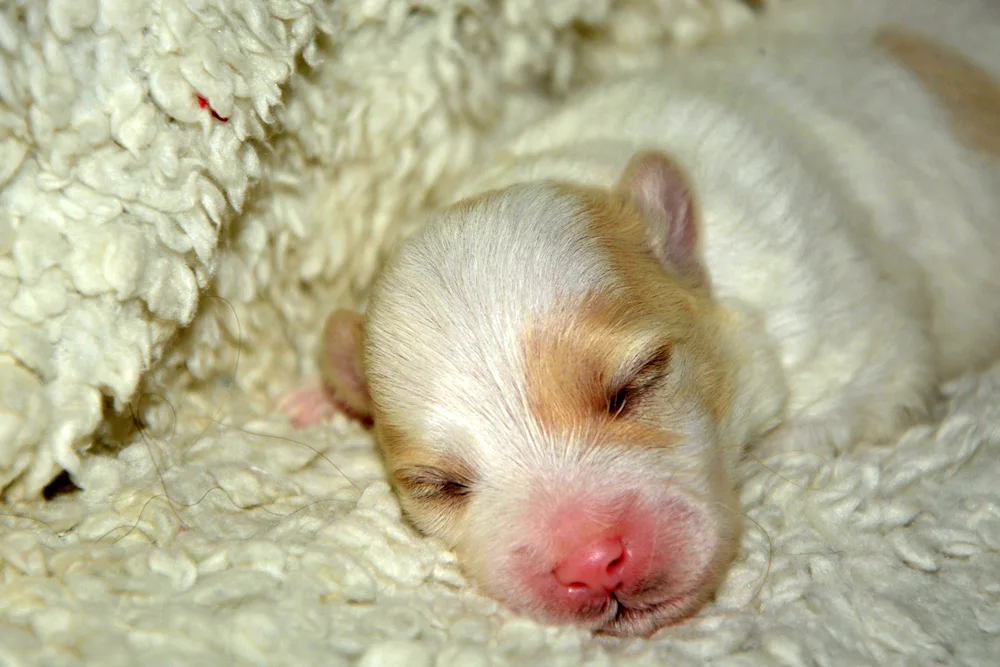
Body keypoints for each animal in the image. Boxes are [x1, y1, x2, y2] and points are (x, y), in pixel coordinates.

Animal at [280, 0, 1000, 636]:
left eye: (633, 386)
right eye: (440, 484)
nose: (594, 565)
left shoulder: (847, 323)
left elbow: (869, 391)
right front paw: (318, 393)